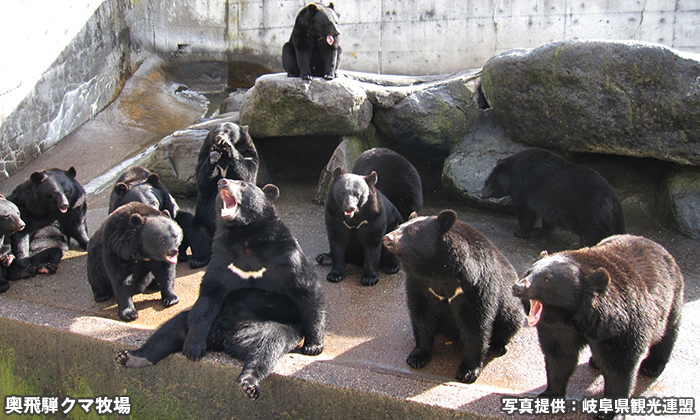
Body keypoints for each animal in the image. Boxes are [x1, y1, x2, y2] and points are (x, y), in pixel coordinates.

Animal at [174, 180, 326, 398]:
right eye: (222, 185)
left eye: (243, 185)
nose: (222, 182)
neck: (244, 236)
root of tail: (225, 337)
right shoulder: (221, 259)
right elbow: (208, 296)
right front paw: (193, 348)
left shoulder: (286, 257)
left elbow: (307, 290)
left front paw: (313, 346)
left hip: (279, 327)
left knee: (266, 347)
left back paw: (249, 382)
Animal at [189, 121, 260, 270]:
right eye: (215, 131)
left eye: (227, 131)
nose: (219, 137)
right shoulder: (202, 156)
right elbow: (202, 179)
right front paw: (214, 154)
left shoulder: (248, 153)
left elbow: (246, 171)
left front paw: (228, 147)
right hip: (202, 220)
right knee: (197, 234)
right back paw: (198, 260)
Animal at [380, 210, 524, 384]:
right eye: (399, 226)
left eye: (413, 231)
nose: (387, 238)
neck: (437, 271)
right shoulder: (419, 284)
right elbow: (421, 316)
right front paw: (417, 357)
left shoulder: (475, 285)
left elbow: (475, 324)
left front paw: (468, 371)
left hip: (512, 307)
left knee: (510, 322)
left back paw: (498, 345)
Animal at [478, 148, 628, 246]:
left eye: (489, 183)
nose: (481, 194)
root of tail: (608, 200)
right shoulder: (549, 202)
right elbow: (548, 217)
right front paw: (541, 230)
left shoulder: (523, 189)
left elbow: (525, 212)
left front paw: (520, 232)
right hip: (615, 217)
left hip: (586, 212)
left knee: (591, 232)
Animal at [516, 235, 684, 418]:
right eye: (529, 271)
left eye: (547, 279)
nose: (518, 287)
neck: (575, 316)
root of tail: (658, 246)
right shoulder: (558, 328)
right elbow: (559, 356)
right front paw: (549, 396)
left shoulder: (622, 326)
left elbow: (620, 366)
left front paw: (609, 412)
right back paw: (595, 361)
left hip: (671, 300)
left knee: (667, 333)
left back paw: (652, 365)